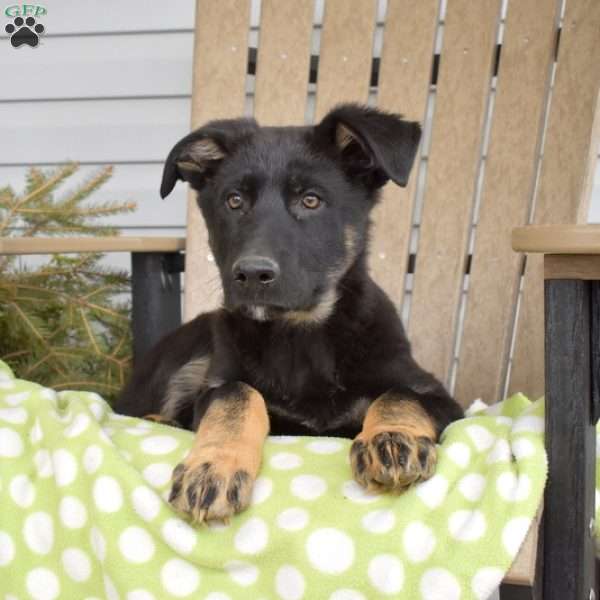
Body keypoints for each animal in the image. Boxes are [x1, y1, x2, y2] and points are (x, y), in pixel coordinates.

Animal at [117, 105, 464, 524]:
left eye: (311, 201)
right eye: (234, 201)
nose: (252, 274)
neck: (301, 337)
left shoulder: (442, 398)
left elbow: (400, 393)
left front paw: (395, 438)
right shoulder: (219, 386)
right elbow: (238, 395)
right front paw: (213, 466)